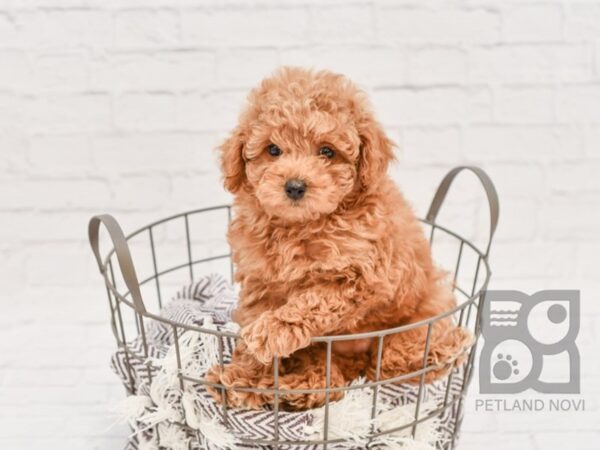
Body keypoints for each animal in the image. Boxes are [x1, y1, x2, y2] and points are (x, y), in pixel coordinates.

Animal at [207, 67, 474, 412]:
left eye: (327, 151)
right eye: (273, 150)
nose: (295, 186)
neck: (301, 226)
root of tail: (356, 364)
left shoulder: (364, 278)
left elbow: (312, 301)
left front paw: (272, 330)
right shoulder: (260, 282)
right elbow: (253, 331)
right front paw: (244, 370)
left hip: (423, 318)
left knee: (397, 361)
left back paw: (448, 346)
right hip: (321, 354)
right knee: (327, 384)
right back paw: (276, 389)